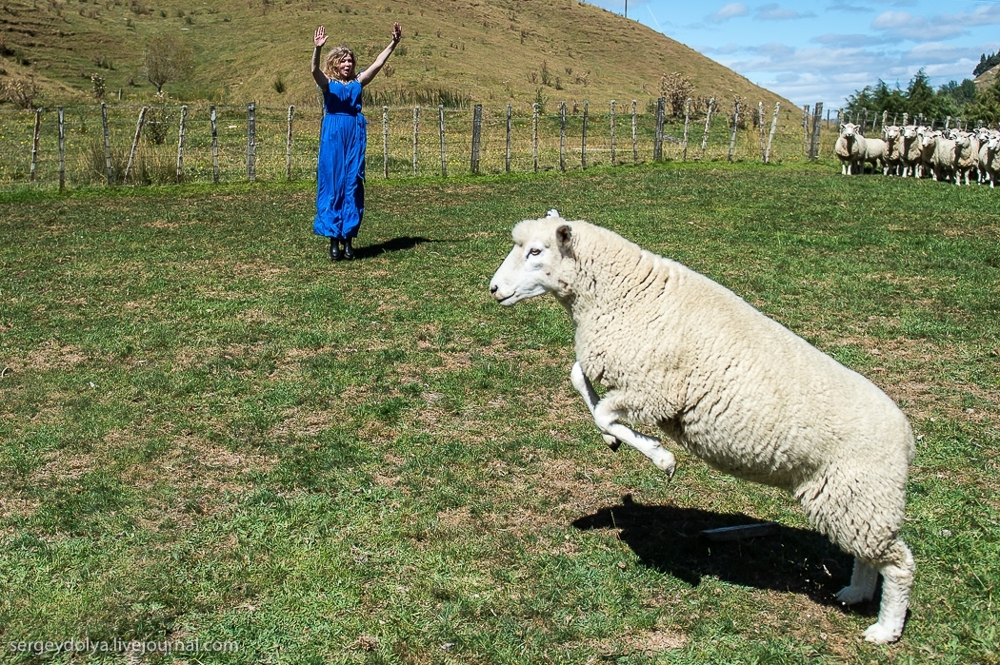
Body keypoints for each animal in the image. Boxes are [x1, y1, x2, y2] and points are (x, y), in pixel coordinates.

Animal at [488, 211, 916, 644]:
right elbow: (579, 378)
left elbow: (605, 413)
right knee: (870, 556)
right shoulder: (627, 377)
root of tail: (906, 438)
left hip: (858, 497)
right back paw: (855, 594)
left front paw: (660, 457)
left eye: (536, 251)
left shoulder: (654, 390)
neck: (620, 291)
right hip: (854, 503)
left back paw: (885, 628)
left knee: (899, 563)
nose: (493, 289)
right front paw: (613, 440)